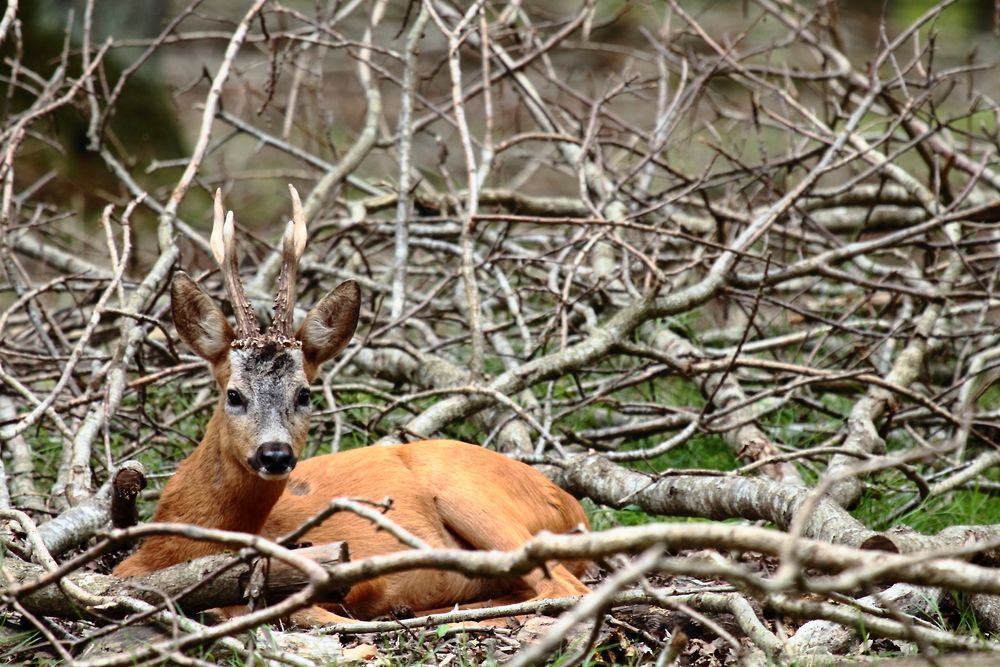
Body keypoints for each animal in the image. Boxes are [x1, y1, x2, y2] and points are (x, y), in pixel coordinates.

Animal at [113, 188, 588, 628]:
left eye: (304, 394)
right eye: (234, 394)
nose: (275, 454)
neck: (176, 550)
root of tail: (570, 503)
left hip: (473, 495)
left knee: (565, 589)